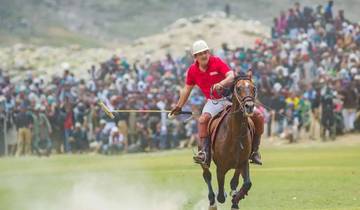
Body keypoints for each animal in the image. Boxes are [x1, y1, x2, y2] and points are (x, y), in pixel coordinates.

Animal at [202, 74, 256, 210]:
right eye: (238, 88)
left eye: (254, 88)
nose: (249, 106)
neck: (235, 134)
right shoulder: (221, 167)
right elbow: (221, 194)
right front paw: (227, 197)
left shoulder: (243, 162)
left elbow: (247, 183)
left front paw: (236, 199)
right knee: (207, 175)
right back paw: (212, 202)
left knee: (234, 180)